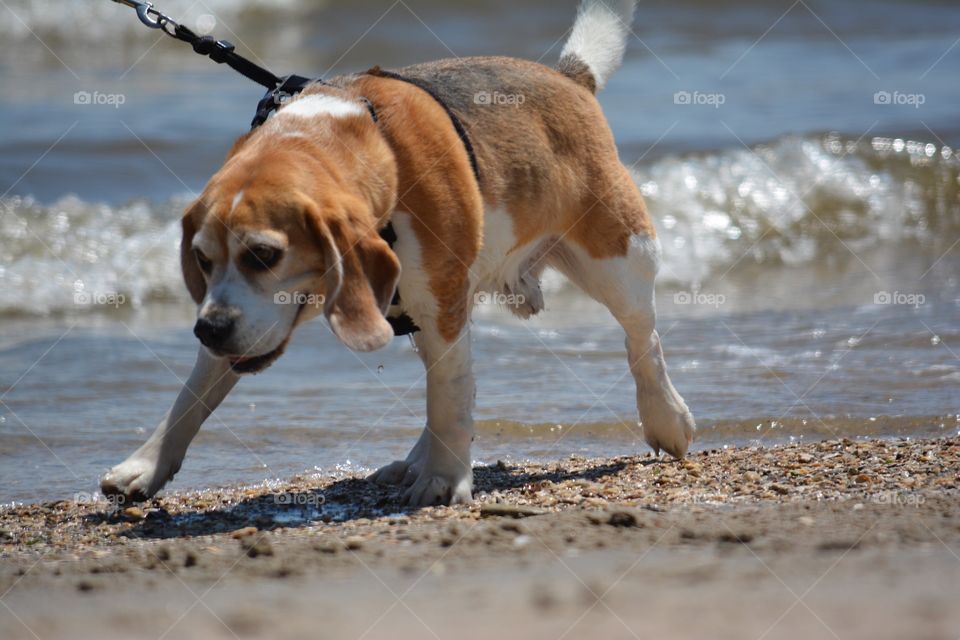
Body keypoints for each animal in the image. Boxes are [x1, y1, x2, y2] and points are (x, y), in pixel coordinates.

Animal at [101, 1, 692, 510]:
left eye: (264, 255)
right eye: (202, 260)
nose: (208, 329)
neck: (365, 142)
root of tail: (570, 77)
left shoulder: (441, 304)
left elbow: (449, 401)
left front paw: (445, 481)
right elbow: (193, 394)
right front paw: (145, 466)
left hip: (618, 259)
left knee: (643, 340)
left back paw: (665, 417)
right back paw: (415, 460)